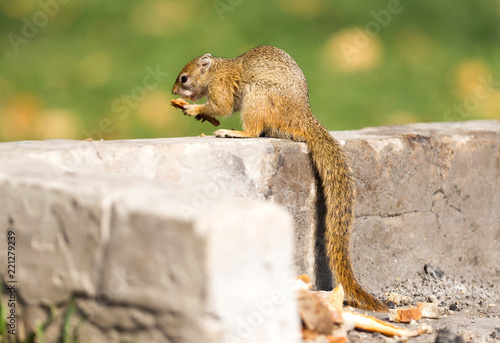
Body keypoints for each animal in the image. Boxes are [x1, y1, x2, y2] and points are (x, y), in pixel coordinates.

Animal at [172, 45, 386, 312]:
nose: (174, 92)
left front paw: (195, 109)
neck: (217, 71)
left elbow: (221, 107)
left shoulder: (221, 87)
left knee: (254, 130)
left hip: (258, 97)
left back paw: (233, 132)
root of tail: (301, 118)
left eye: (184, 78)